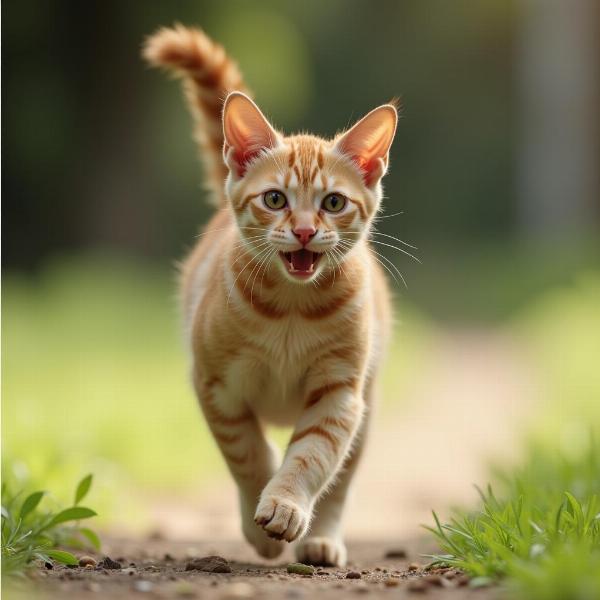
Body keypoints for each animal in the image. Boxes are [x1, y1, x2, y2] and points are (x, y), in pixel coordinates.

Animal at [144, 24, 398, 568]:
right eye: (276, 199)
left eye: (333, 202)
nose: (303, 231)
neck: (290, 309)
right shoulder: (215, 384)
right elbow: (247, 452)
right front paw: (262, 521)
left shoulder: (340, 392)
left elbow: (313, 456)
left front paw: (285, 504)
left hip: (367, 404)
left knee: (341, 479)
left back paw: (322, 539)